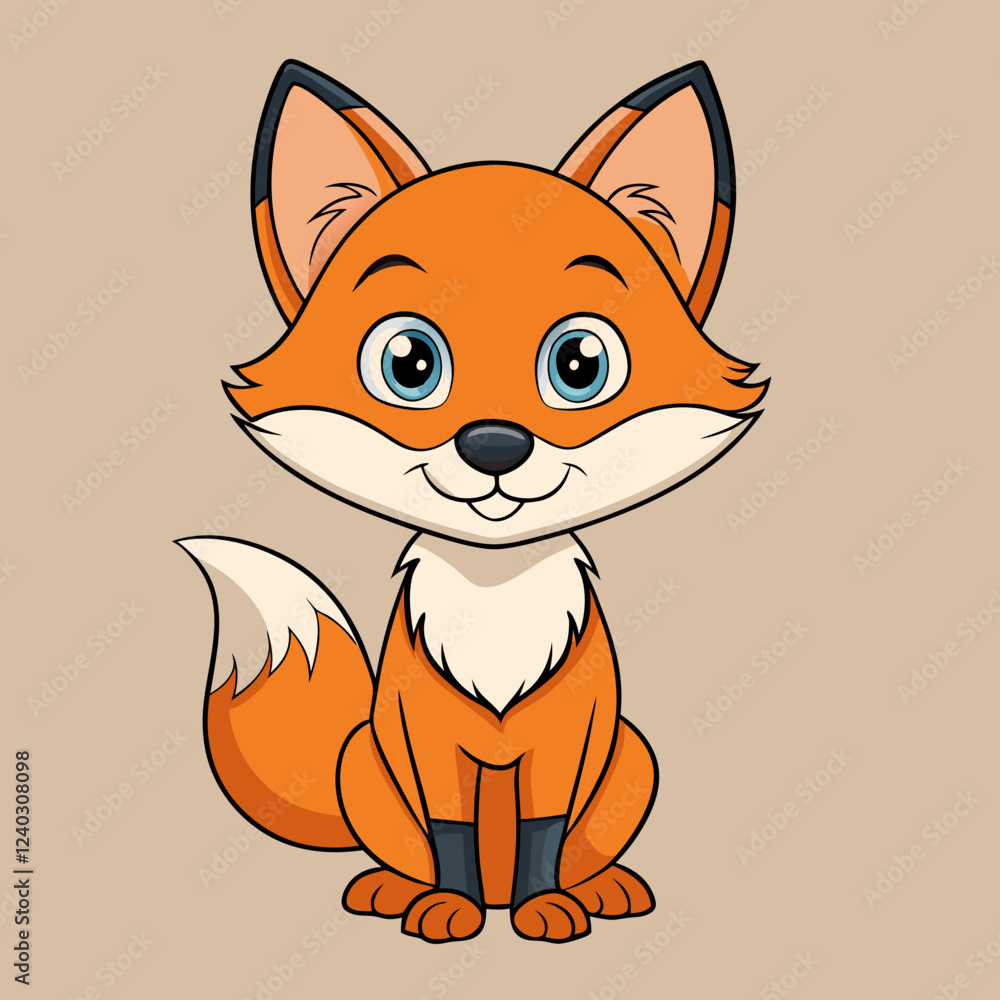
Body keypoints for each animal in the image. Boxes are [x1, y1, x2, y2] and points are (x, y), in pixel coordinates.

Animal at [178, 58, 766, 944]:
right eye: (409, 363)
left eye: (580, 363)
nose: (493, 444)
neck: (496, 599)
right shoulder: (426, 741)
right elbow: (448, 829)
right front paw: (447, 908)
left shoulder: (568, 740)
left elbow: (544, 834)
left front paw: (546, 907)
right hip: (363, 760)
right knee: (404, 852)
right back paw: (398, 891)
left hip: (632, 754)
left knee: (583, 849)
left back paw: (598, 889)